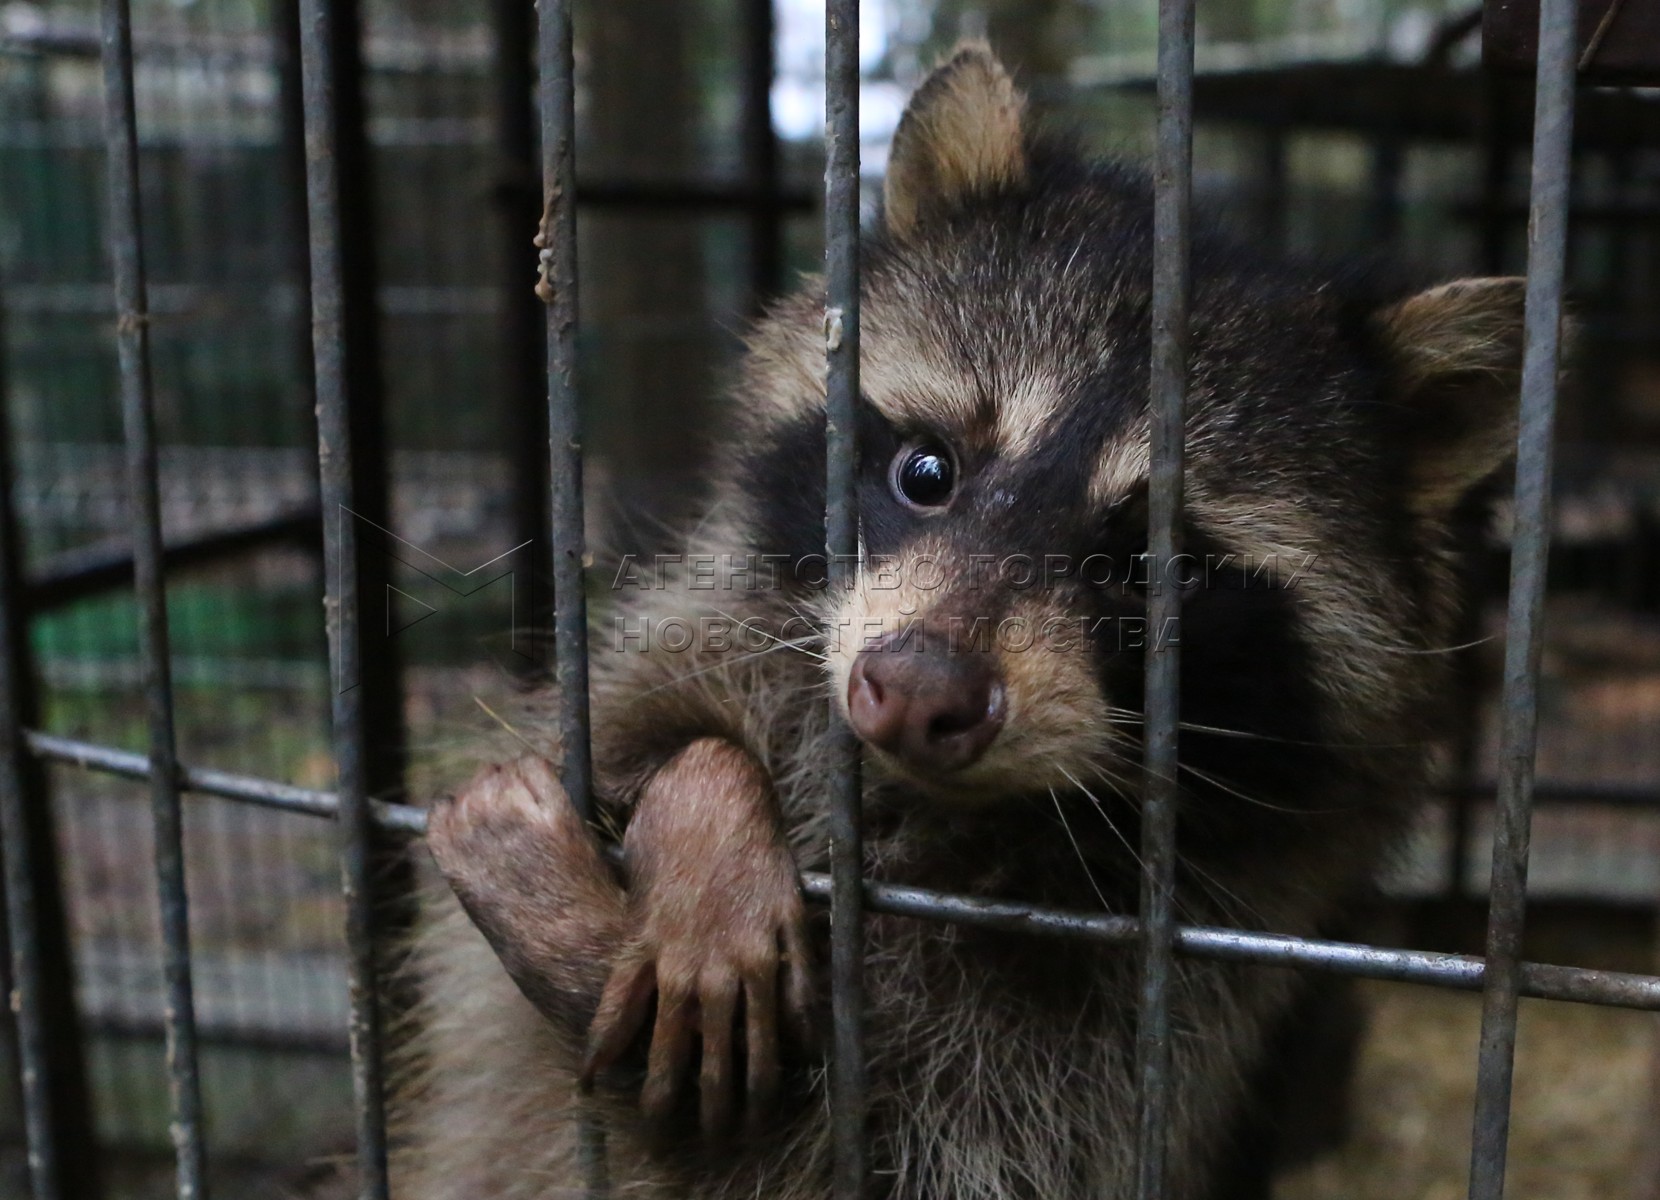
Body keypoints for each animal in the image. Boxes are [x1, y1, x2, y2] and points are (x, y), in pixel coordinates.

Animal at [391, 44, 1527, 1200]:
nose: (916, 693)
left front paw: (583, 931)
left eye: (1152, 567)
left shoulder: (1151, 1018)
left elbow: (836, 1146)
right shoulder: (709, 630)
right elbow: (642, 719)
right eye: (926, 472)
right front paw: (709, 815)